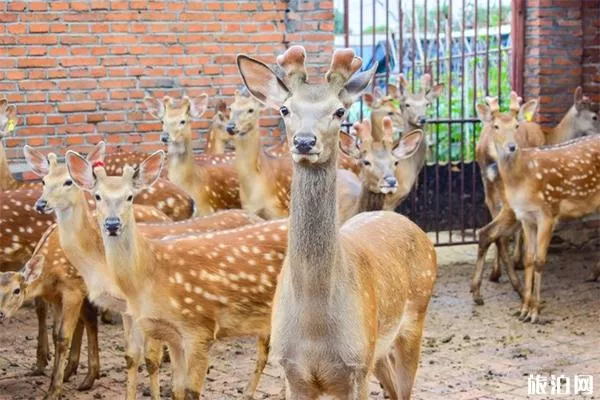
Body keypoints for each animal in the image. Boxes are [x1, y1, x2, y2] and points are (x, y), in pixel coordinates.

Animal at [0, 225, 100, 400]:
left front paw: (54, 392)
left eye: (17, 290)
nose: (0, 314)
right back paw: (81, 375)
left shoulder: (73, 290)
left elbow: (63, 338)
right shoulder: (56, 297)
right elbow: (55, 334)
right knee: (89, 319)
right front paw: (55, 381)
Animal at [24, 143, 262, 400]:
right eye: (43, 180)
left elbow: (150, 358)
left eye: (68, 181)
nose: (41, 204)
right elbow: (131, 355)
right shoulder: (126, 309)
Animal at [238, 45, 436, 398]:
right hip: (378, 352)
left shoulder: (356, 366)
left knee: (405, 388)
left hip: (414, 316)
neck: (315, 327)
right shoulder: (291, 370)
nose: (304, 141)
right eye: (285, 109)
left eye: (340, 111)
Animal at [478, 133, 600, 324]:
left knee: (488, 233)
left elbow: (537, 260)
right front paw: (527, 311)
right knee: (490, 233)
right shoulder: (531, 217)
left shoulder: (546, 215)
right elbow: (531, 259)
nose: (511, 147)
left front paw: (533, 311)